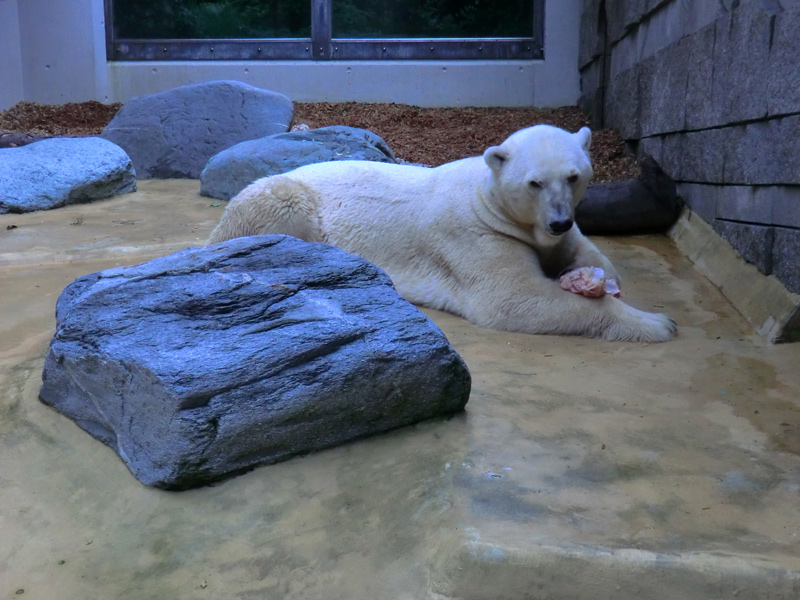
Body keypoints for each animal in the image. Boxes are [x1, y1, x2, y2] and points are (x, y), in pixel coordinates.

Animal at [206, 125, 676, 342]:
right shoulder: (477, 238)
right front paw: (658, 322)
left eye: (574, 176)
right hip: (285, 201)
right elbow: (514, 299)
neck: (488, 198)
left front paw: (595, 278)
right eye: (535, 183)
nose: (558, 220)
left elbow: (590, 256)